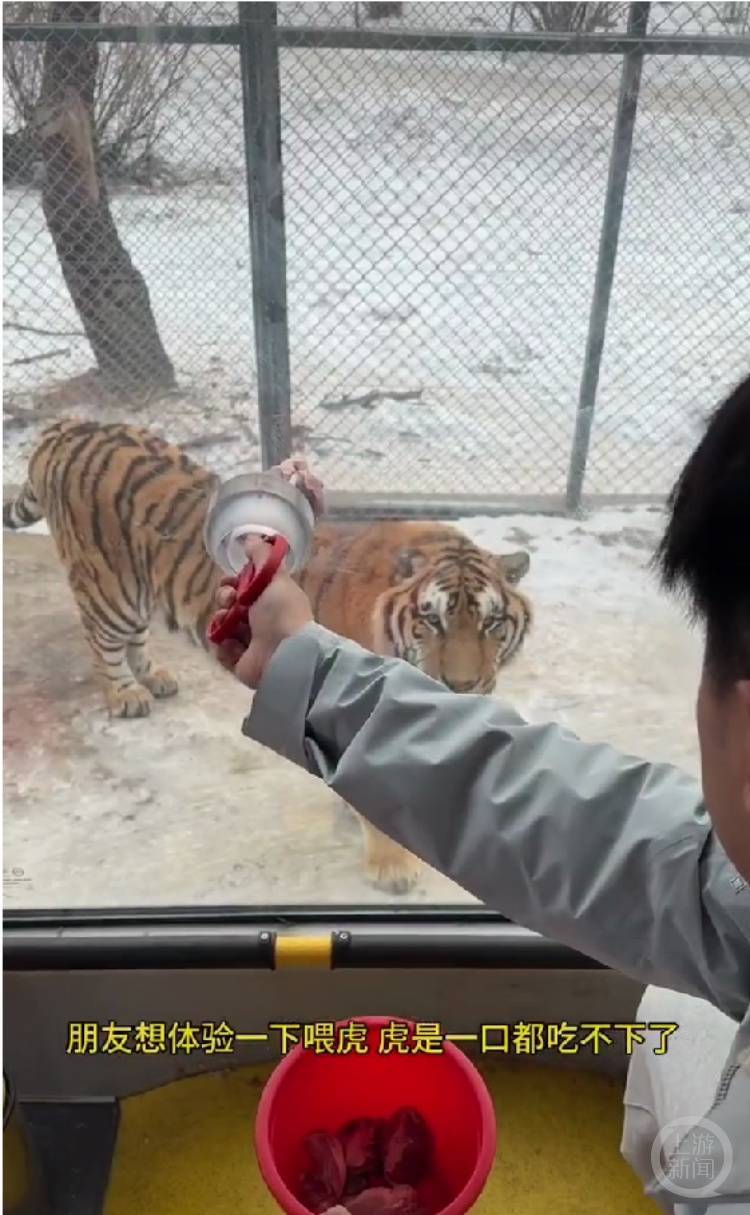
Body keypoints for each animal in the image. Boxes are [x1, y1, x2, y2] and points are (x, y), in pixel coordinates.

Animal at [4, 417, 533, 894]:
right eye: (433, 620)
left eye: (492, 623)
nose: (463, 687)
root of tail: (68, 426)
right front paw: (392, 868)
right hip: (109, 588)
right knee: (102, 641)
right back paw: (126, 695)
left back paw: (155, 677)